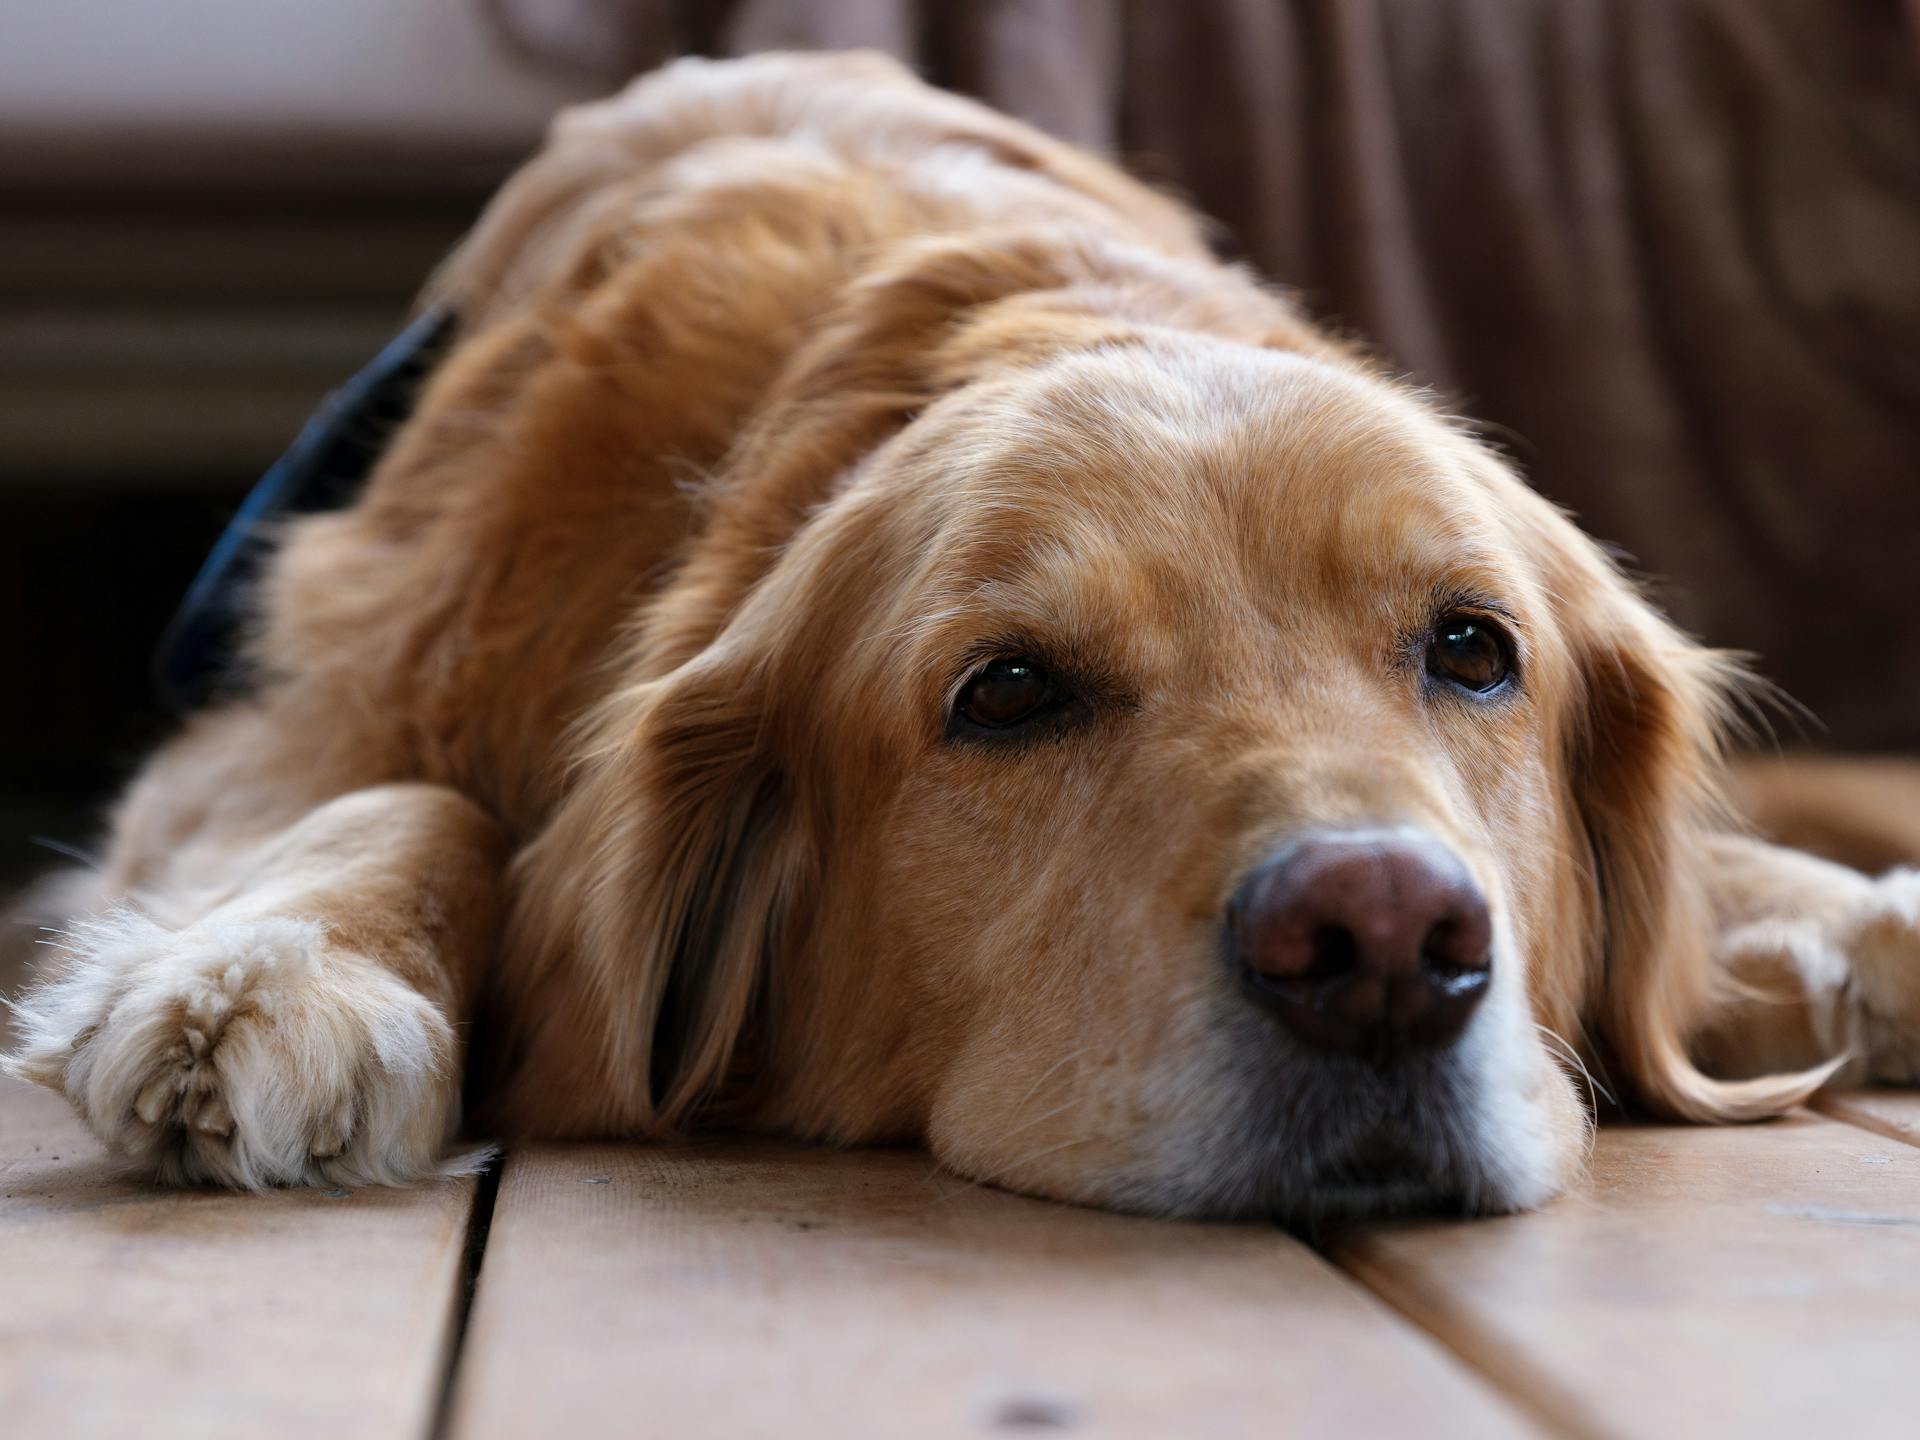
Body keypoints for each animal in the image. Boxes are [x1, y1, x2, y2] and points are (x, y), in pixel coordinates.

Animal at [3, 56, 1920, 1221]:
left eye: (1472, 651)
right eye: (1005, 693)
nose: (1381, 939)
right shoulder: (283, 721)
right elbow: (423, 801)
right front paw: (278, 964)